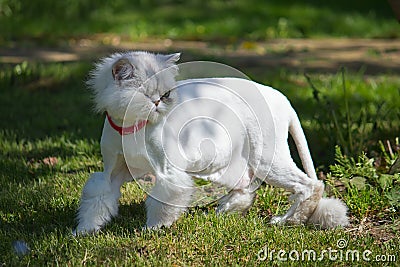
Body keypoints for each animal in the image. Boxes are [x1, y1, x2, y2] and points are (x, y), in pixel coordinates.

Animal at [74, 51, 346, 236]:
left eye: (165, 94)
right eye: (145, 95)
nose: (159, 103)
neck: (132, 125)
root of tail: (283, 98)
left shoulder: (168, 172)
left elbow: (161, 204)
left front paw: (153, 229)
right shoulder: (110, 173)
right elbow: (97, 200)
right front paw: (83, 231)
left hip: (268, 160)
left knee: (311, 186)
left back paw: (286, 221)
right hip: (223, 165)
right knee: (246, 187)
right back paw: (224, 211)